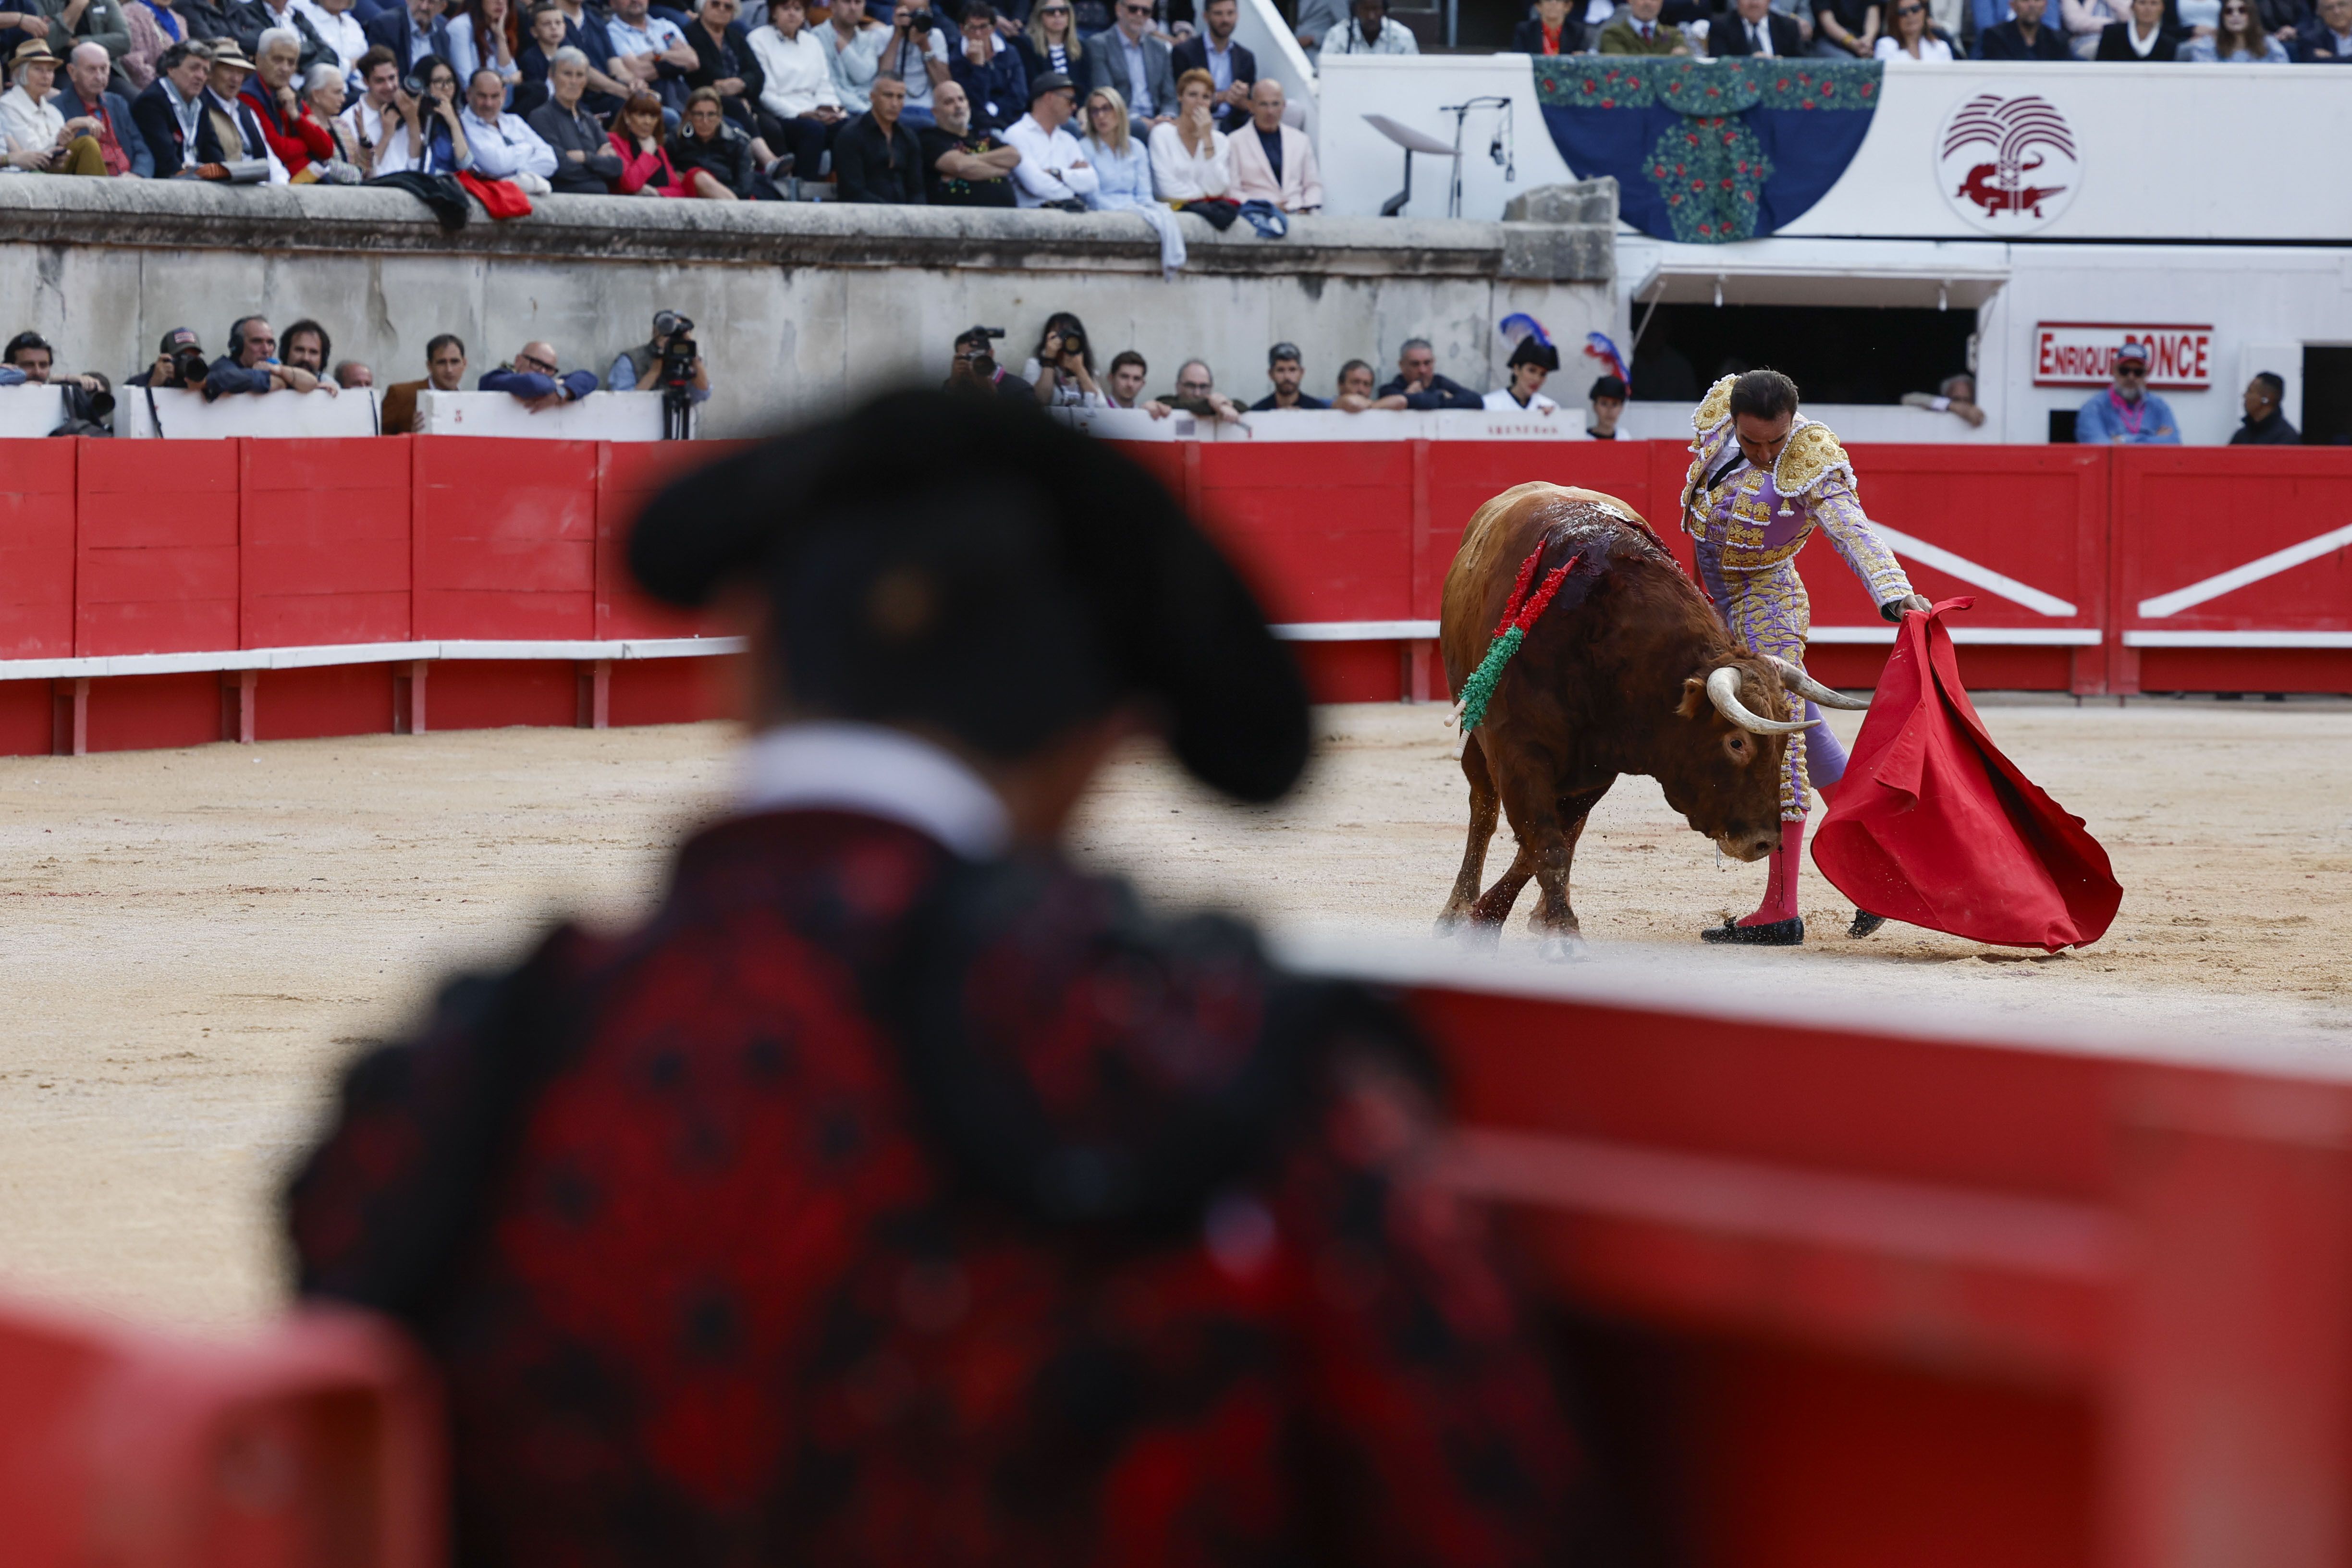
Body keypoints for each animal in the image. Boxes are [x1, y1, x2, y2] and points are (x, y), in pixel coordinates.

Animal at [1430, 482, 1853, 959]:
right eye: (1736, 742)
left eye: (1781, 744)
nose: (1764, 842)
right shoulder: (1518, 754)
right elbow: (1544, 842)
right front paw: (1546, 933)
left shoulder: (1595, 771)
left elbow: (1546, 845)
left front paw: (1519, 920)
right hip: (1474, 733)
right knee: (1483, 810)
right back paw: (1455, 910)